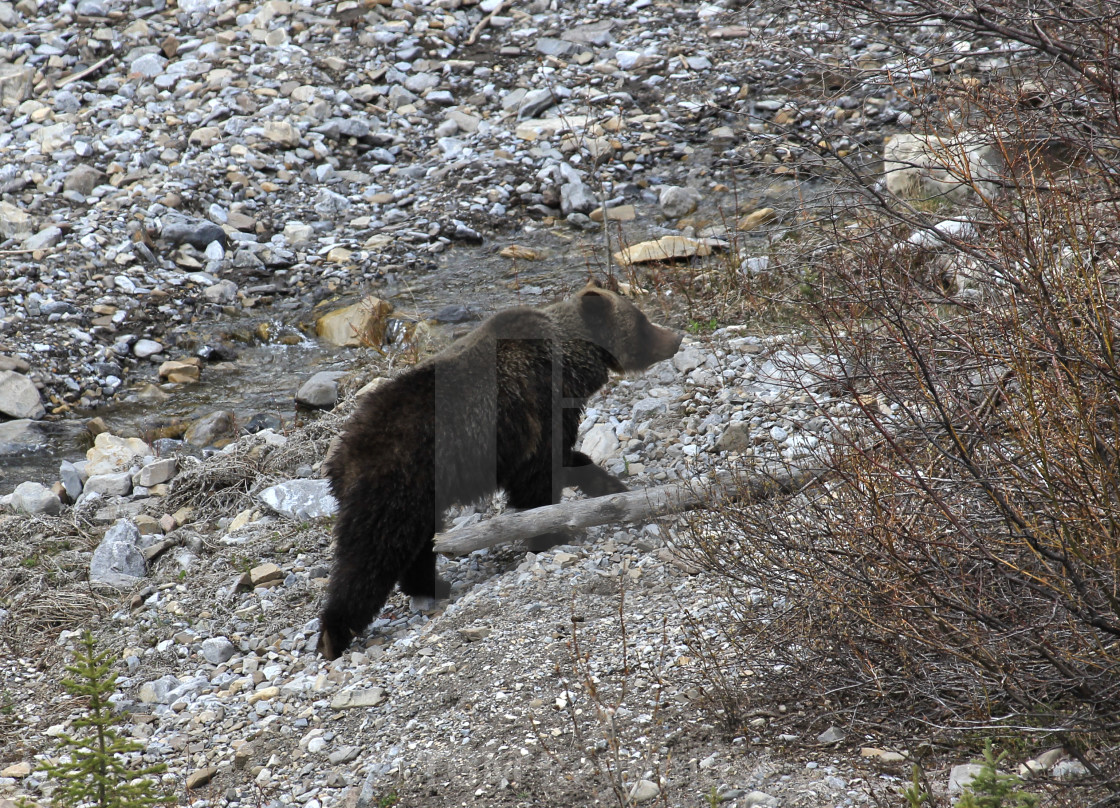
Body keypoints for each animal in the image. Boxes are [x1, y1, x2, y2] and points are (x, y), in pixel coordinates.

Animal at [318, 280, 680, 658]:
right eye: (642, 321)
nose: (675, 338)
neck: (570, 367)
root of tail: (341, 455)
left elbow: (569, 463)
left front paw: (611, 490)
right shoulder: (535, 412)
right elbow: (538, 483)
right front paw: (550, 535)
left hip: (419, 495)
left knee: (417, 544)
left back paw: (432, 584)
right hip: (396, 483)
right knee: (370, 556)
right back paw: (333, 633)